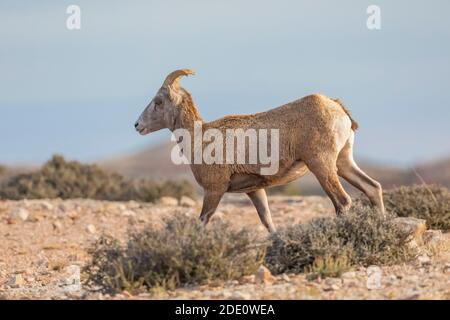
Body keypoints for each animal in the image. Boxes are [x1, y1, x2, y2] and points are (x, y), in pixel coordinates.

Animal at [135, 69, 384, 231]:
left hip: (321, 165)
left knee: (342, 202)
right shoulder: (254, 190)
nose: (137, 125)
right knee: (372, 188)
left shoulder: (214, 190)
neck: (199, 138)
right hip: (343, 163)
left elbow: (202, 223)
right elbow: (267, 221)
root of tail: (337, 107)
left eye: (158, 102)